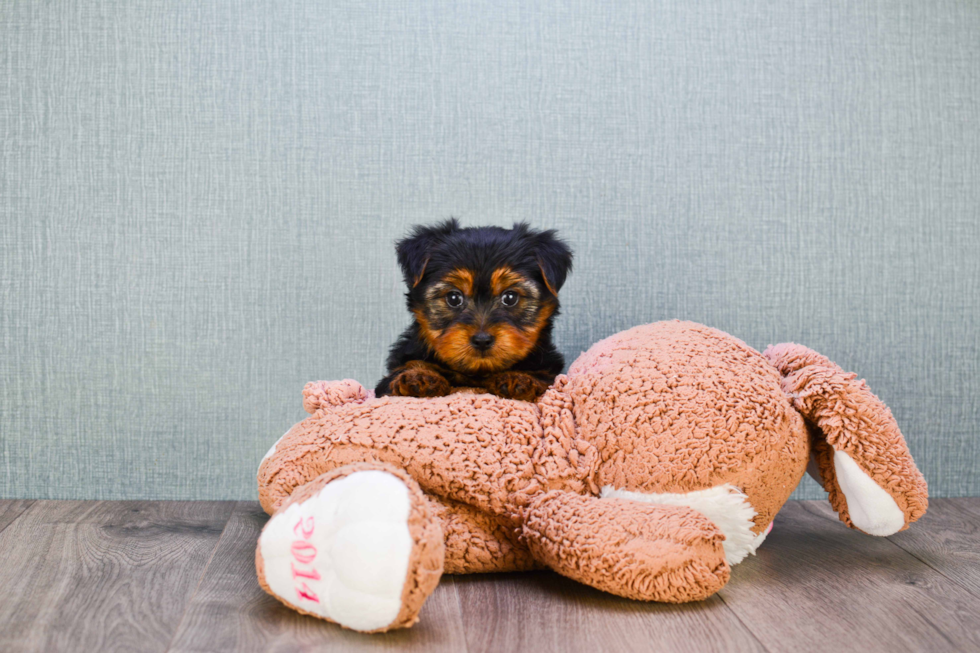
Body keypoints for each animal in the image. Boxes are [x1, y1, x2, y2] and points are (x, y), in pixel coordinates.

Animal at [376, 222, 576, 400]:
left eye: (510, 297)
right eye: (454, 298)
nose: (482, 340)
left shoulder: (548, 368)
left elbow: (542, 376)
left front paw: (519, 377)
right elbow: (407, 367)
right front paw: (419, 375)